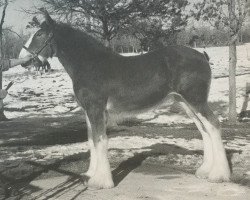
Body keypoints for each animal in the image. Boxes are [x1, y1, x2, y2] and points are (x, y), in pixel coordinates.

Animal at [25, 10, 230, 189]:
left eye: (39, 34)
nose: (24, 58)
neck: (90, 64)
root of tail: (202, 56)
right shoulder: (89, 111)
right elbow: (91, 141)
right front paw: (89, 175)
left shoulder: (96, 109)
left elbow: (100, 140)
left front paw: (101, 182)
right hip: (186, 103)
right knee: (204, 130)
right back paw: (204, 171)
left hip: (196, 100)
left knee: (213, 125)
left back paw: (219, 175)